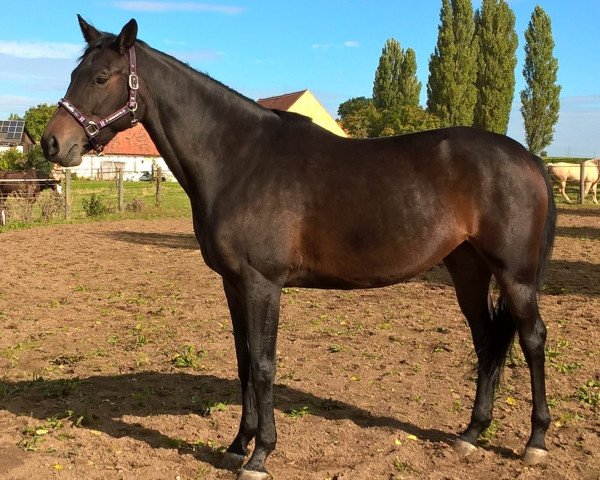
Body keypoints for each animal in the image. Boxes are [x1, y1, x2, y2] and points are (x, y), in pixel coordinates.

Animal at [41, 16, 556, 478]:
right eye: (74, 74)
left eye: (101, 77)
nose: (52, 143)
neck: (239, 159)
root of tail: (527, 158)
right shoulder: (233, 285)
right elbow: (244, 362)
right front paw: (236, 446)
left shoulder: (263, 284)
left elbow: (264, 364)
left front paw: (260, 456)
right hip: (467, 269)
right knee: (486, 340)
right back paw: (470, 435)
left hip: (515, 276)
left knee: (532, 338)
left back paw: (535, 442)